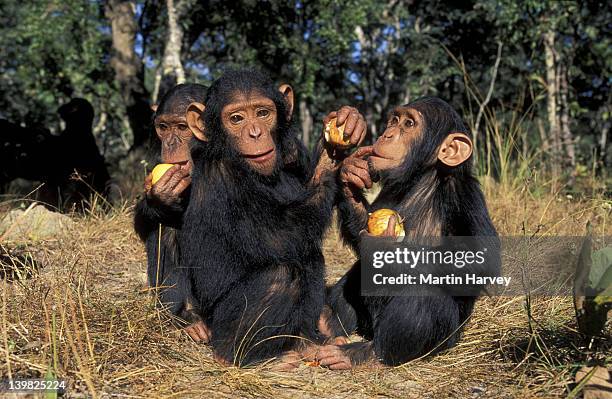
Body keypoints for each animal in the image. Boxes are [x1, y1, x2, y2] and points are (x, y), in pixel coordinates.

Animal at [133, 84, 210, 344]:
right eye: (164, 127)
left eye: (183, 127)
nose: (171, 142)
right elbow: (144, 221)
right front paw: (160, 199)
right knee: (165, 227)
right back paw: (188, 317)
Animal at [179, 69, 366, 368]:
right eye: (236, 119)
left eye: (263, 113)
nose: (255, 133)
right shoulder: (225, 177)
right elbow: (281, 235)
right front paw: (331, 156)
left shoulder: (292, 159)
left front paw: (348, 147)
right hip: (217, 324)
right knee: (283, 275)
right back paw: (243, 356)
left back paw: (310, 341)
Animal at [318, 96, 500, 368]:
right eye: (394, 120)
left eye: (409, 124)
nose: (388, 134)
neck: (423, 178)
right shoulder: (389, 190)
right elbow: (364, 225)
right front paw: (351, 175)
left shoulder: (464, 194)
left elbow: (479, 259)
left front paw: (384, 249)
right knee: (359, 272)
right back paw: (327, 323)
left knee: (424, 295)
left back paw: (365, 353)